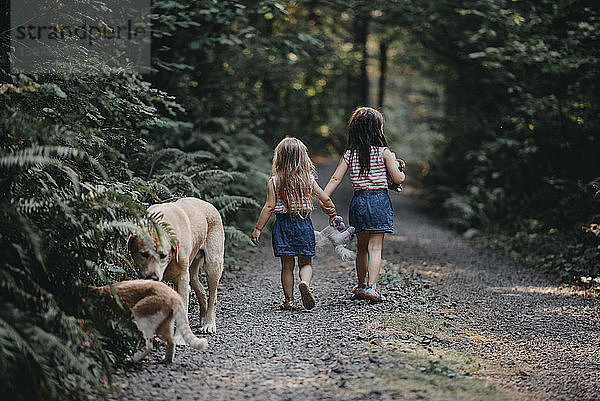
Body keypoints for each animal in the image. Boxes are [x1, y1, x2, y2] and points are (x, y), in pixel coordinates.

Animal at [127, 197, 224, 338]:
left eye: (163, 255)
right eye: (144, 254)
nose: (153, 277)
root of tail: (209, 205)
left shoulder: (182, 280)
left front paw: (178, 337)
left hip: (212, 266)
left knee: (213, 296)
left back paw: (209, 323)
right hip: (192, 273)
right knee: (200, 290)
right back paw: (203, 317)